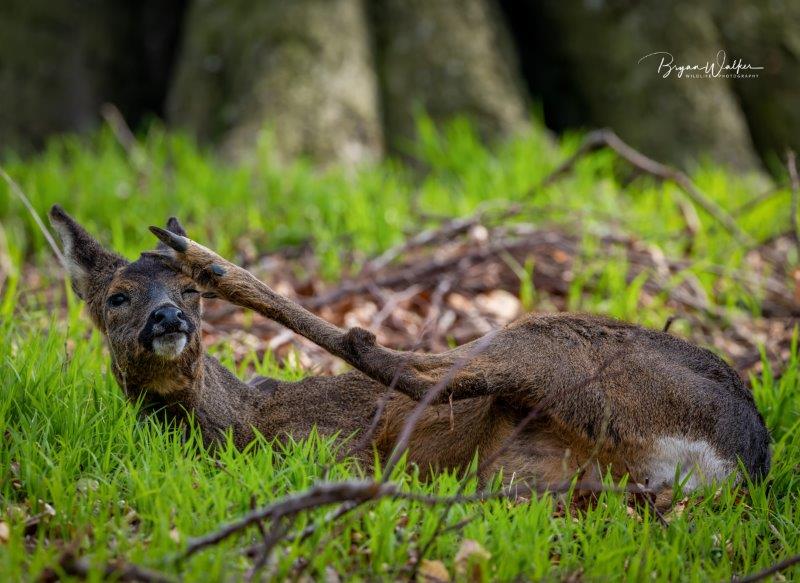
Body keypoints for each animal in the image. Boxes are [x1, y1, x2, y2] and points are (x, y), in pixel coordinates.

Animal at [48, 205, 768, 498]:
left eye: (189, 295)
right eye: (117, 296)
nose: (169, 315)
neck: (240, 424)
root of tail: (743, 456)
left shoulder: (331, 439)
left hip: (550, 343)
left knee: (398, 361)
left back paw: (209, 254)